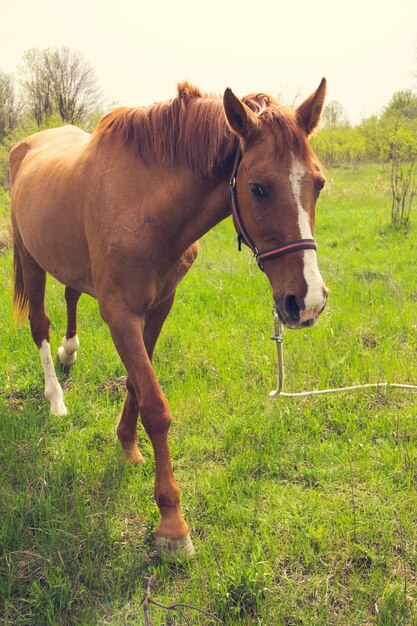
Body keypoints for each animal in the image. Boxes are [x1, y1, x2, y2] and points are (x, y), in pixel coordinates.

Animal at [9, 79, 326, 556]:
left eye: (319, 184)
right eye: (257, 188)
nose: (307, 302)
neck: (145, 207)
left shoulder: (160, 305)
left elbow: (137, 385)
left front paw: (127, 446)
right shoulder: (120, 314)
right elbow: (156, 406)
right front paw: (172, 524)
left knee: (70, 296)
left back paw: (70, 353)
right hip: (30, 259)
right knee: (40, 325)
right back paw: (55, 399)